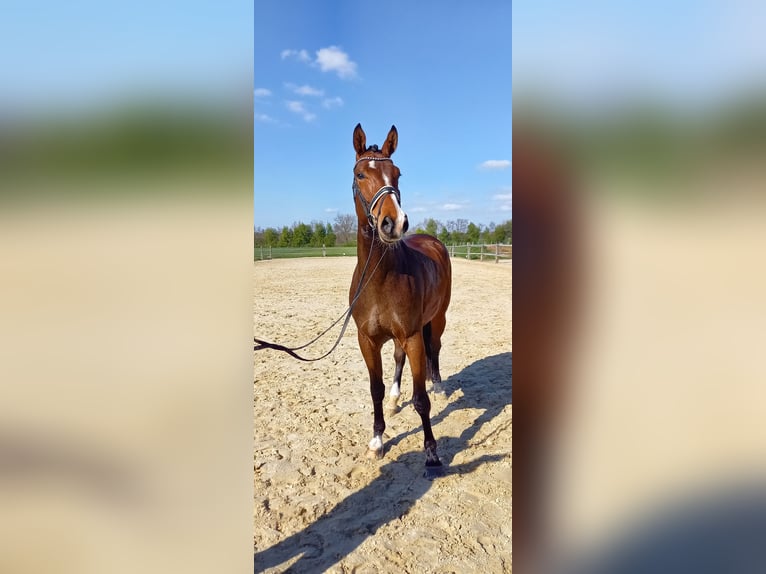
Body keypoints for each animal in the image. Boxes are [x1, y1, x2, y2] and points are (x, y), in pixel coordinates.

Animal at [349, 123, 452, 477]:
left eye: (397, 174)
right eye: (360, 174)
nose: (394, 223)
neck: (379, 277)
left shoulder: (412, 335)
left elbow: (421, 399)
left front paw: (432, 454)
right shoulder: (367, 340)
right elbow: (375, 389)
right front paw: (377, 441)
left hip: (437, 319)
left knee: (435, 348)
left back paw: (439, 385)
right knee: (397, 358)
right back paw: (395, 399)